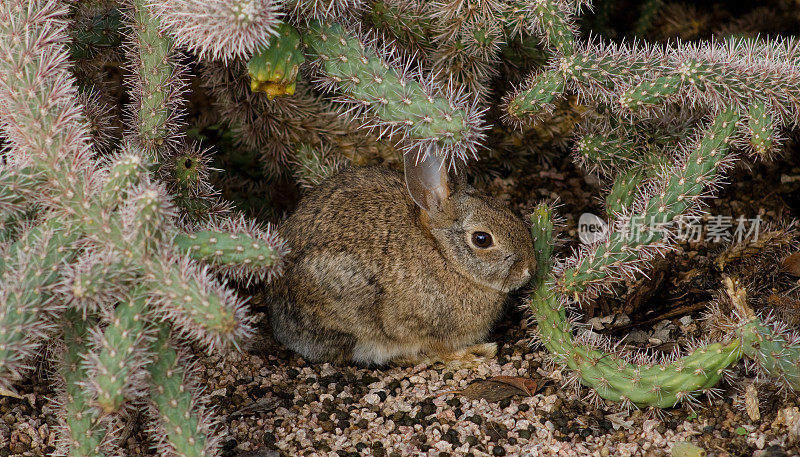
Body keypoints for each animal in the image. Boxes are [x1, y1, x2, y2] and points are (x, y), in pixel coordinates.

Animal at [266, 151, 536, 366]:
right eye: (482, 239)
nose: (529, 269)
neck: (444, 254)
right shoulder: (418, 327)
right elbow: (437, 350)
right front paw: (471, 355)